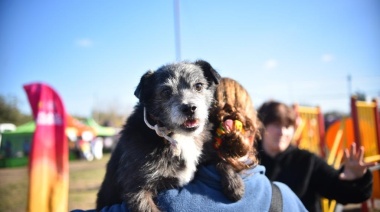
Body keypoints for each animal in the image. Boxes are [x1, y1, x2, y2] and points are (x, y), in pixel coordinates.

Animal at [96, 60, 221, 212]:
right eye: (166, 92)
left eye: (198, 86)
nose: (190, 108)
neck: (178, 137)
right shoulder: (137, 190)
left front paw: (234, 186)